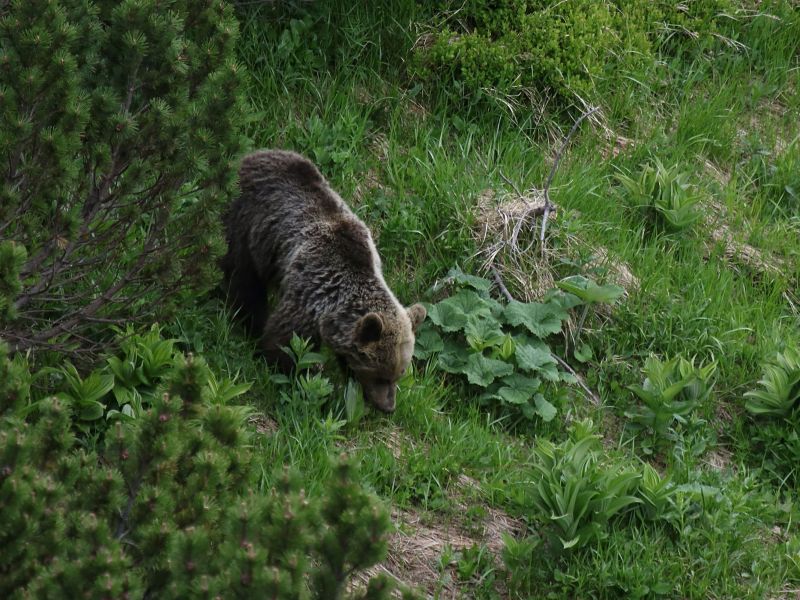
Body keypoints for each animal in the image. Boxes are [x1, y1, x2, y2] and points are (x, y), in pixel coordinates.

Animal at [220, 149, 424, 412]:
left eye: (399, 373)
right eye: (381, 375)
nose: (388, 407)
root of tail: (251, 155)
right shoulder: (309, 291)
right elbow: (288, 341)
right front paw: (302, 379)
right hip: (250, 225)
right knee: (244, 278)